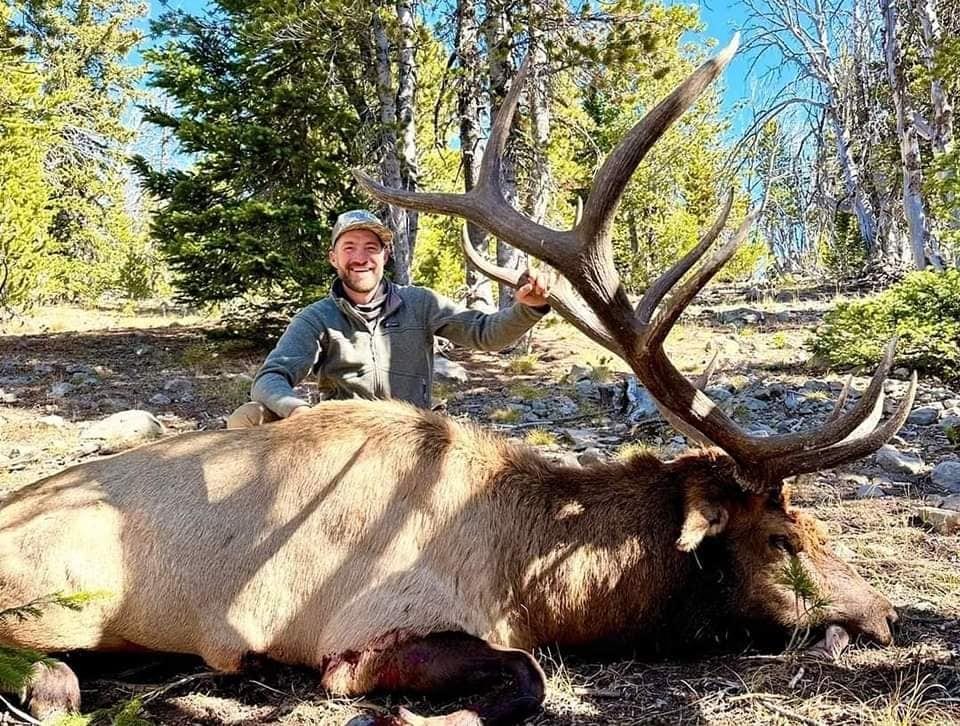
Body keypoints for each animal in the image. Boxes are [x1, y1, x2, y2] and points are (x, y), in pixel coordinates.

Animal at [0, 36, 915, 726]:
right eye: (784, 538)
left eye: (819, 528)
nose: (886, 614)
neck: (535, 584)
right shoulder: (365, 630)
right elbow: (526, 676)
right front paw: (410, 714)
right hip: (65, 592)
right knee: (48, 667)